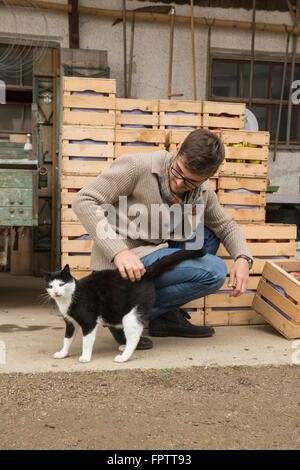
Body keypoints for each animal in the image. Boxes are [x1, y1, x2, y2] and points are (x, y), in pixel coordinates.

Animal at [43, 250, 205, 364]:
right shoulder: (70, 322)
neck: (70, 298)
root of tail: (144, 274)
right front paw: (63, 353)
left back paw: (124, 356)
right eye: (50, 286)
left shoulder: (89, 322)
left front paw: (85, 357)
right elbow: (67, 338)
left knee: (134, 334)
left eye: (61, 284)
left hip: (132, 314)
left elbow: (87, 341)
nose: (55, 292)